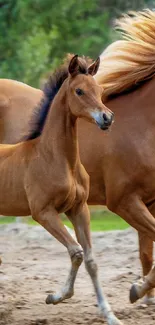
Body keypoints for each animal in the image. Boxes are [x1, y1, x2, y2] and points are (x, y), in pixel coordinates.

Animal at [0, 9, 155, 306]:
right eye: (80, 91)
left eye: (100, 91)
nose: (107, 118)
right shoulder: (123, 201)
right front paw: (139, 291)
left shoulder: (148, 200)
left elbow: (146, 251)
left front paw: (143, 293)